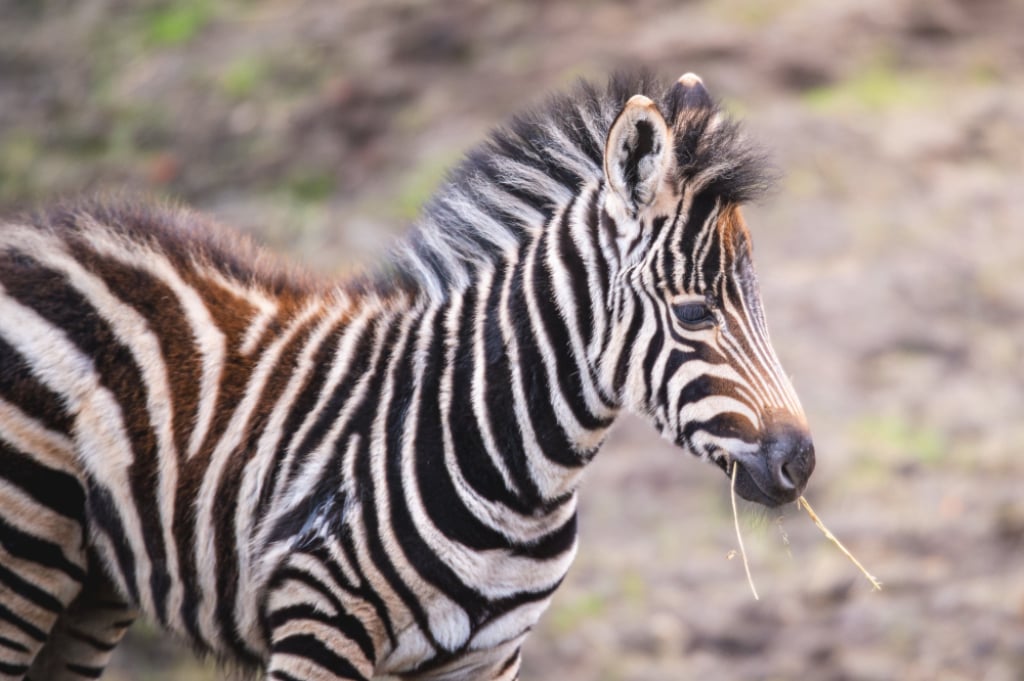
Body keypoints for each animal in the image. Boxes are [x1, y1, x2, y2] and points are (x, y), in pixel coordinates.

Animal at [0, 71, 814, 680]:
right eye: (695, 313)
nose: (800, 464)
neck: (515, 472)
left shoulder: (488, 660)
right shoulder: (318, 627)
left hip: (94, 584)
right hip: (25, 551)